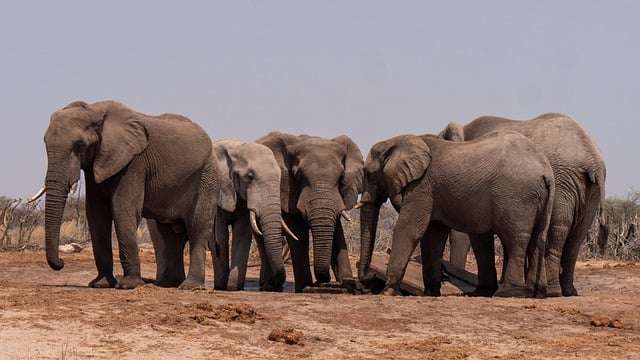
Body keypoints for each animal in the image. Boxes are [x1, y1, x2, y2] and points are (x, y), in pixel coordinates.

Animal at [35, 100, 220, 290]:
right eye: (45, 142)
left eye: (80, 144)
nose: (62, 262)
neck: (94, 111)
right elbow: (96, 215)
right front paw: (100, 284)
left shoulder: (134, 162)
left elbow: (124, 211)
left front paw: (128, 285)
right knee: (170, 235)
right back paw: (166, 284)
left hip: (207, 177)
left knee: (197, 227)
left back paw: (189, 287)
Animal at [212, 139, 298, 292]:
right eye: (249, 177)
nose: (277, 286)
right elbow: (220, 234)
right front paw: (222, 287)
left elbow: (242, 233)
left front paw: (234, 287)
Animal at [256, 132, 364, 292]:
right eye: (298, 175)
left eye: (341, 177)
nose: (323, 281)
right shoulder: (287, 190)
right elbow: (298, 231)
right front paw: (305, 287)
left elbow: (337, 230)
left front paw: (348, 285)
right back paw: (268, 286)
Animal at [360, 132, 556, 298]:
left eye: (369, 174)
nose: (365, 281)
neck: (398, 141)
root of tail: (546, 171)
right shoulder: (433, 192)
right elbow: (433, 236)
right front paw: (431, 294)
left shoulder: (421, 187)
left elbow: (409, 229)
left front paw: (388, 292)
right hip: (536, 199)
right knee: (537, 239)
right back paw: (533, 293)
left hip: (517, 197)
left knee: (515, 241)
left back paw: (507, 293)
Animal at [440, 114, 604, 296]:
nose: (445, 277)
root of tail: (592, 160)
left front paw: (482, 292)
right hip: (589, 191)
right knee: (576, 239)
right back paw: (568, 292)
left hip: (563, 184)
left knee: (557, 232)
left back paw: (552, 291)